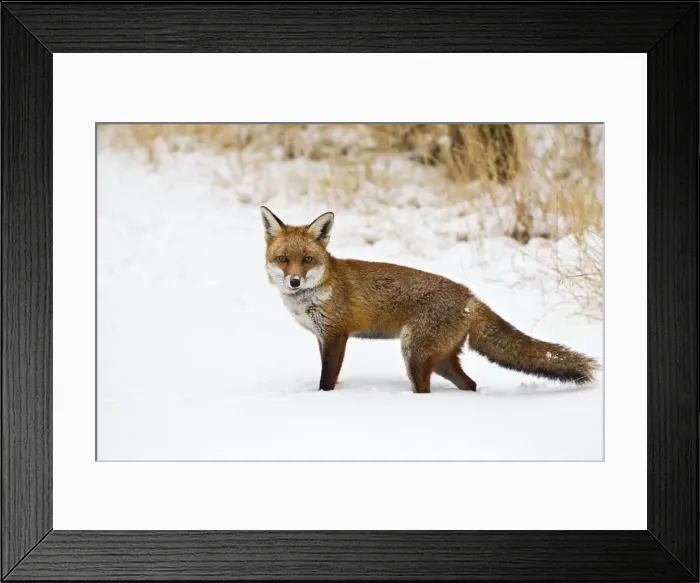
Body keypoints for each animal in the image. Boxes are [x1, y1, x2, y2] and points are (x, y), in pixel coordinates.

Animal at [260, 206, 599, 393]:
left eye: (307, 260)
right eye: (283, 259)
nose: (294, 281)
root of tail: (470, 297)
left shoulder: (336, 334)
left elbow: (326, 379)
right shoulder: (323, 337)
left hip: (415, 354)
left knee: (428, 389)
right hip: (441, 361)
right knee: (470, 384)